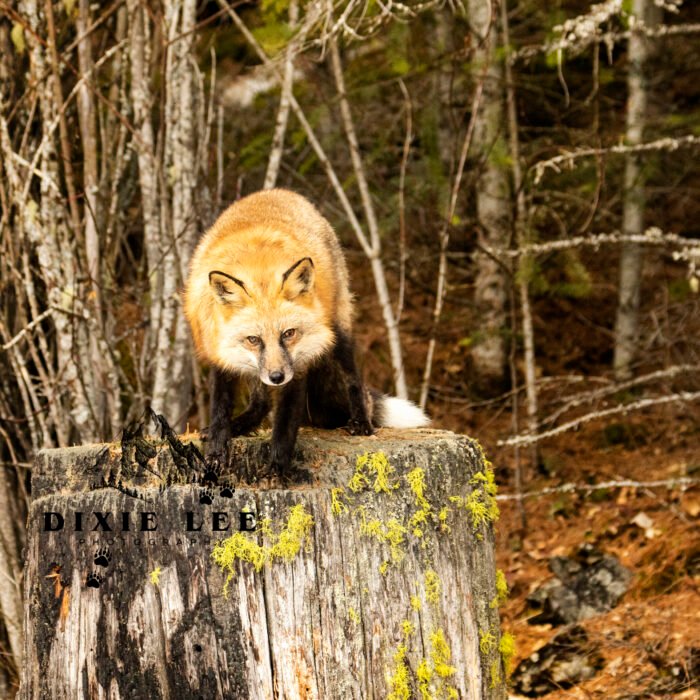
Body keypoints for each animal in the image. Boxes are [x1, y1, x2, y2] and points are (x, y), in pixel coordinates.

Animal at [184, 189, 429, 478]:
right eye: (253, 340)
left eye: (289, 333)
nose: (277, 377)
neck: (257, 268)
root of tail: (281, 192)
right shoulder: (219, 352)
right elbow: (220, 409)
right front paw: (216, 452)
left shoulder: (297, 364)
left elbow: (286, 422)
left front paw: (278, 467)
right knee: (261, 403)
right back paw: (241, 424)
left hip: (338, 330)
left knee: (353, 378)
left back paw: (361, 422)